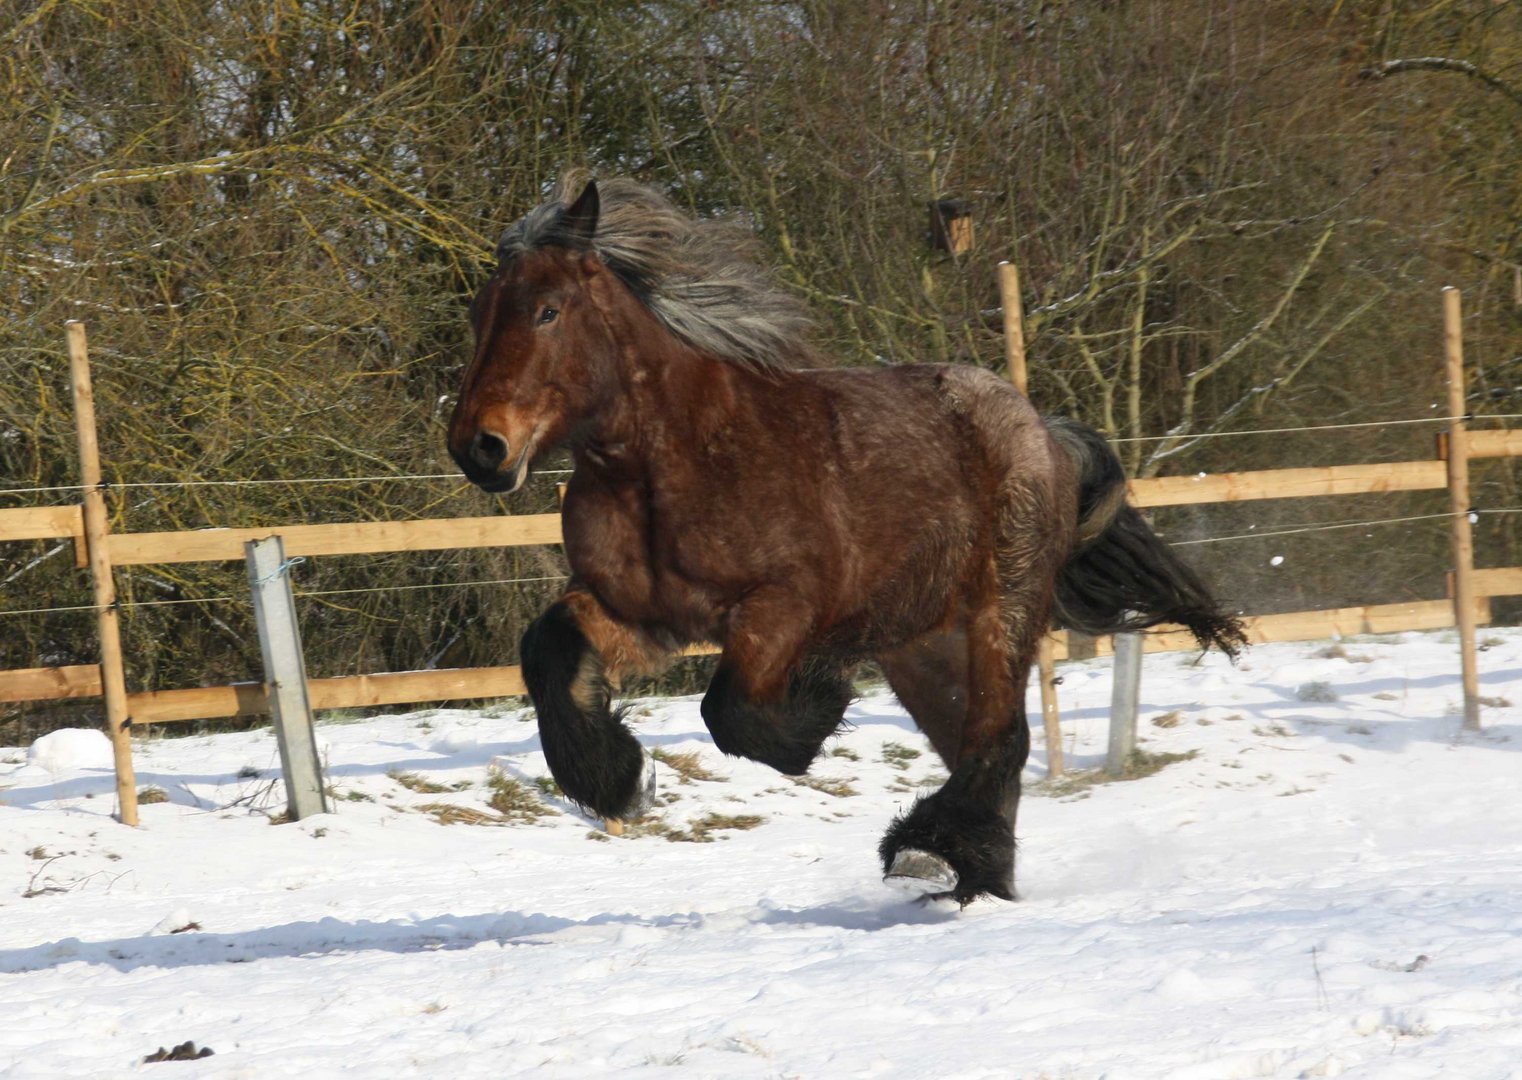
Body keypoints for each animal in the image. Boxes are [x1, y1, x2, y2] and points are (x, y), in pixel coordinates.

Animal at [444, 177, 1241, 906]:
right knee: (981, 746)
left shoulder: (783, 605)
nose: (478, 447)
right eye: (480, 312)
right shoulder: (643, 615)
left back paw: (931, 851)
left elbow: (731, 711)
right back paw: (970, 871)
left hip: (1001, 609)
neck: (670, 462)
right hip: (924, 648)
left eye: (548, 310)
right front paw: (616, 779)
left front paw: (820, 700)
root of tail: (1041, 429)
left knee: (999, 737)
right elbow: (548, 648)